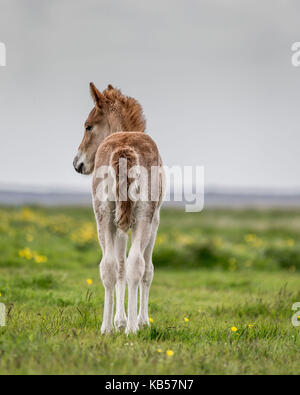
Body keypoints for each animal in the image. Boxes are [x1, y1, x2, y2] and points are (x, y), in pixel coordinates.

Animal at [73, 83, 163, 334]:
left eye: (88, 126)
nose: (77, 164)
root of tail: (124, 150)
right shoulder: (153, 220)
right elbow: (145, 269)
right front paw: (138, 321)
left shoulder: (120, 221)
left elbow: (119, 265)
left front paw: (119, 321)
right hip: (142, 216)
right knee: (136, 265)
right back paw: (133, 328)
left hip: (104, 215)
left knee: (109, 266)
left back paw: (107, 327)